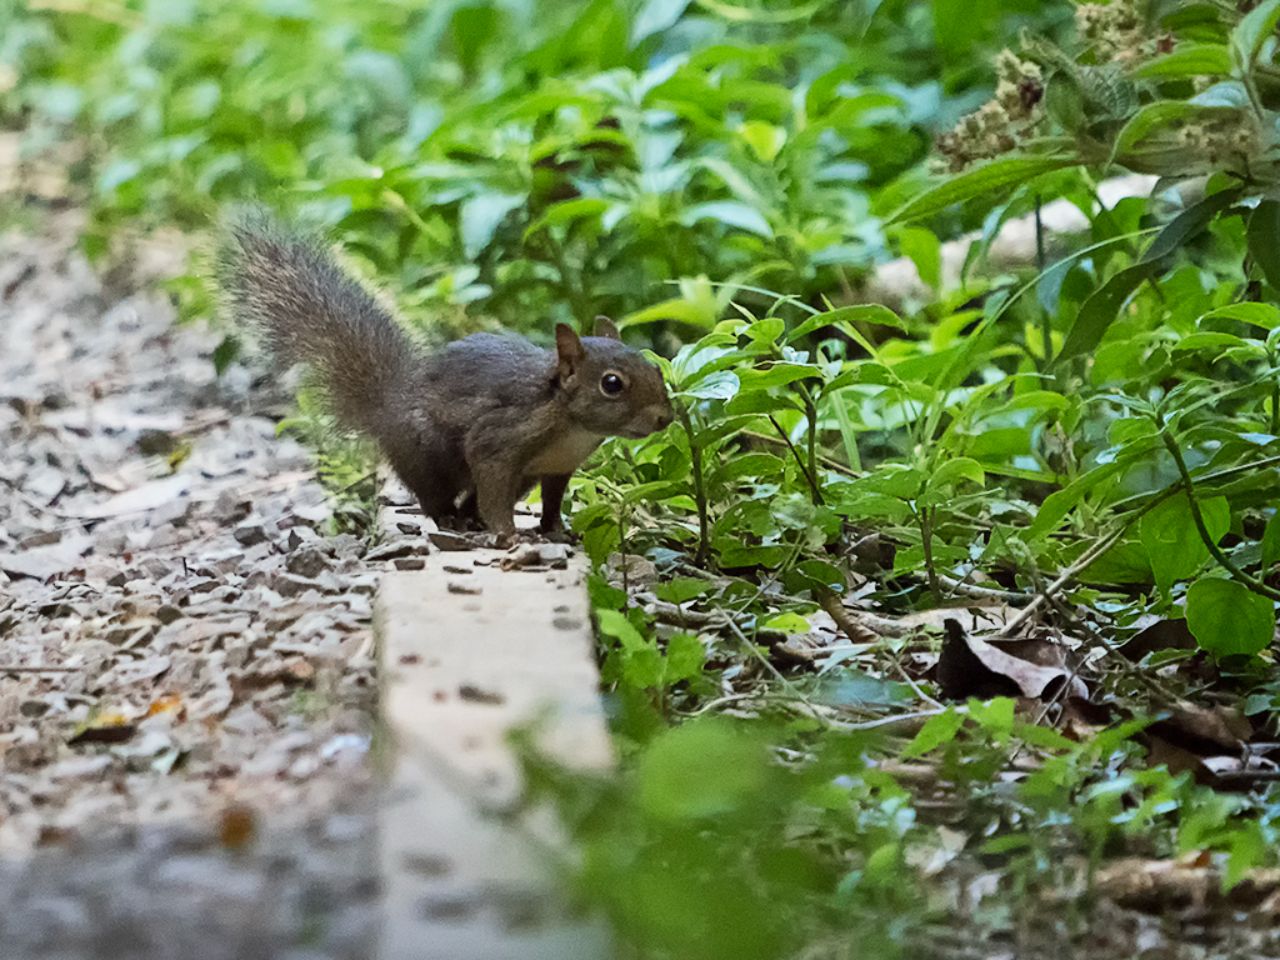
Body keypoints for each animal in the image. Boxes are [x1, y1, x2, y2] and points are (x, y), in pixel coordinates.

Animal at [217, 212, 674, 540]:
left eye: (655, 366)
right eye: (612, 384)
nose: (665, 419)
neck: (570, 423)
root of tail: (388, 408)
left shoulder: (557, 468)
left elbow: (551, 502)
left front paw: (556, 532)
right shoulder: (500, 439)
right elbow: (493, 491)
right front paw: (509, 534)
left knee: (472, 500)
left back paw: (469, 520)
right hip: (429, 454)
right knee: (435, 497)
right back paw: (453, 520)